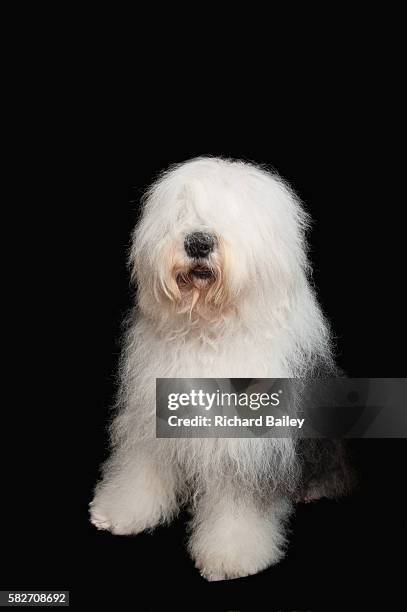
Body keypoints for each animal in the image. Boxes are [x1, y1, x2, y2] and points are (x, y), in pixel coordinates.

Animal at [90, 155, 354, 580]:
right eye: (182, 211)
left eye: (234, 215)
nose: (198, 242)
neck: (208, 329)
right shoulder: (150, 418)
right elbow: (141, 467)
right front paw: (120, 512)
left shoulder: (248, 445)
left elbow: (239, 501)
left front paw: (233, 556)